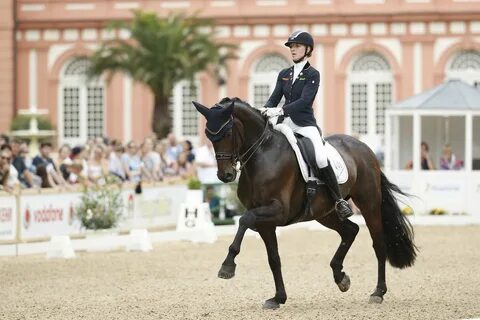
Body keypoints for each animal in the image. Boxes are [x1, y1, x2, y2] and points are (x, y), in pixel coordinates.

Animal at [192, 97, 416, 310]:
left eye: (228, 132)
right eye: (208, 134)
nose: (225, 175)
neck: (262, 154)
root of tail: (364, 148)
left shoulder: (277, 211)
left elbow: (244, 220)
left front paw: (227, 266)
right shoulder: (266, 222)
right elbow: (274, 259)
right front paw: (278, 298)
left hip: (369, 203)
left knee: (378, 243)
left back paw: (378, 292)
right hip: (325, 213)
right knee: (350, 231)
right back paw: (340, 277)